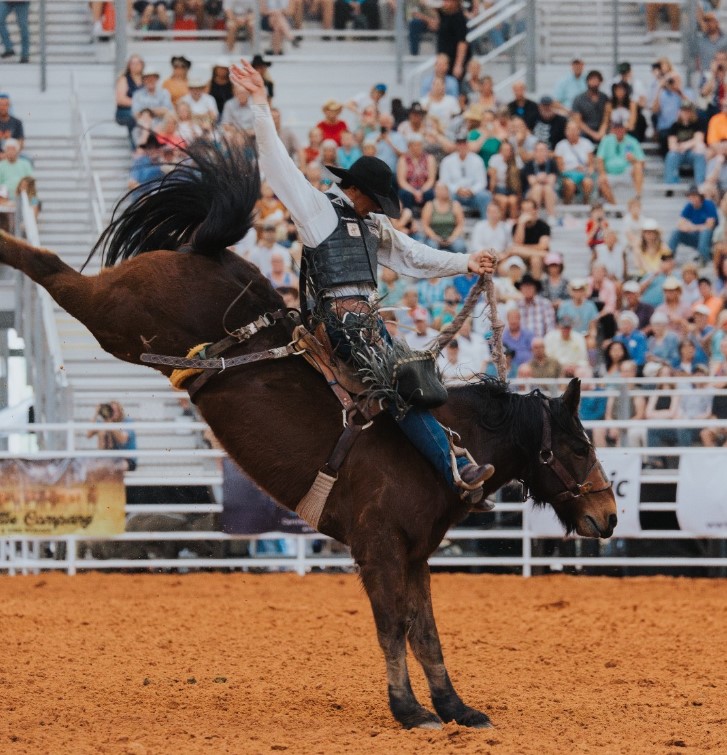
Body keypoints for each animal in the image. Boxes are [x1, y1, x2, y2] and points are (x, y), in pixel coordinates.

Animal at [0, 139, 616, 728]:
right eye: (579, 445)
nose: (609, 515)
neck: (440, 447)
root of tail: (208, 252)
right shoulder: (378, 550)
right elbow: (393, 630)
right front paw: (409, 710)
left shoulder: (415, 556)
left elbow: (426, 633)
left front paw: (455, 707)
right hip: (114, 316)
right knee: (54, 269)